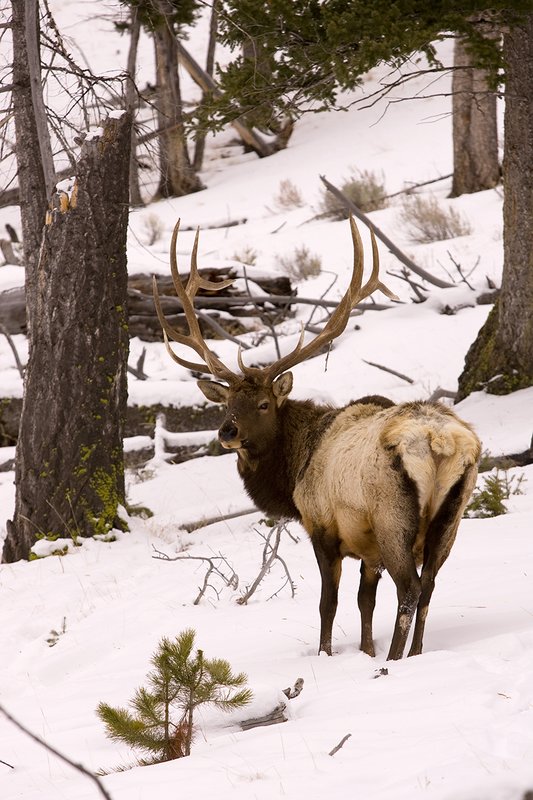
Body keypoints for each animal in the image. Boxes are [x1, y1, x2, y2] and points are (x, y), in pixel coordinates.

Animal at [153, 218, 481, 661]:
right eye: (228, 404)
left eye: (263, 404)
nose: (227, 432)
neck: (293, 471)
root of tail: (440, 441)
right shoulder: (368, 549)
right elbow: (364, 601)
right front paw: (365, 650)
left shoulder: (323, 526)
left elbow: (330, 602)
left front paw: (328, 654)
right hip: (451, 518)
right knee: (429, 585)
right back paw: (413, 655)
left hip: (392, 516)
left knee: (411, 589)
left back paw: (394, 661)